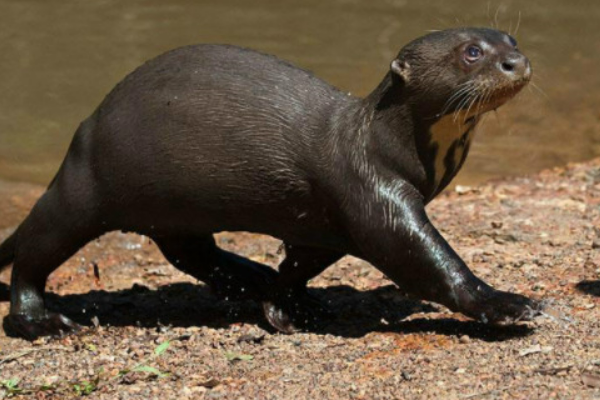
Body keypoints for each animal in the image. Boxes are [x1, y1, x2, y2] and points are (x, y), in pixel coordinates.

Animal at [0, 28, 540, 340]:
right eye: (472, 52)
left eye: (511, 40)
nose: (517, 62)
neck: (385, 144)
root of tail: (86, 126)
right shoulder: (373, 194)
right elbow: (422, 260)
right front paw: (504, 303)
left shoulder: (327, 222)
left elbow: (301, 262)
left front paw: (286, 304)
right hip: (88, 185)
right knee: (35, 249)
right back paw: (40, 321)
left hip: (171, 208)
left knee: (189, 251)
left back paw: (249, 276)